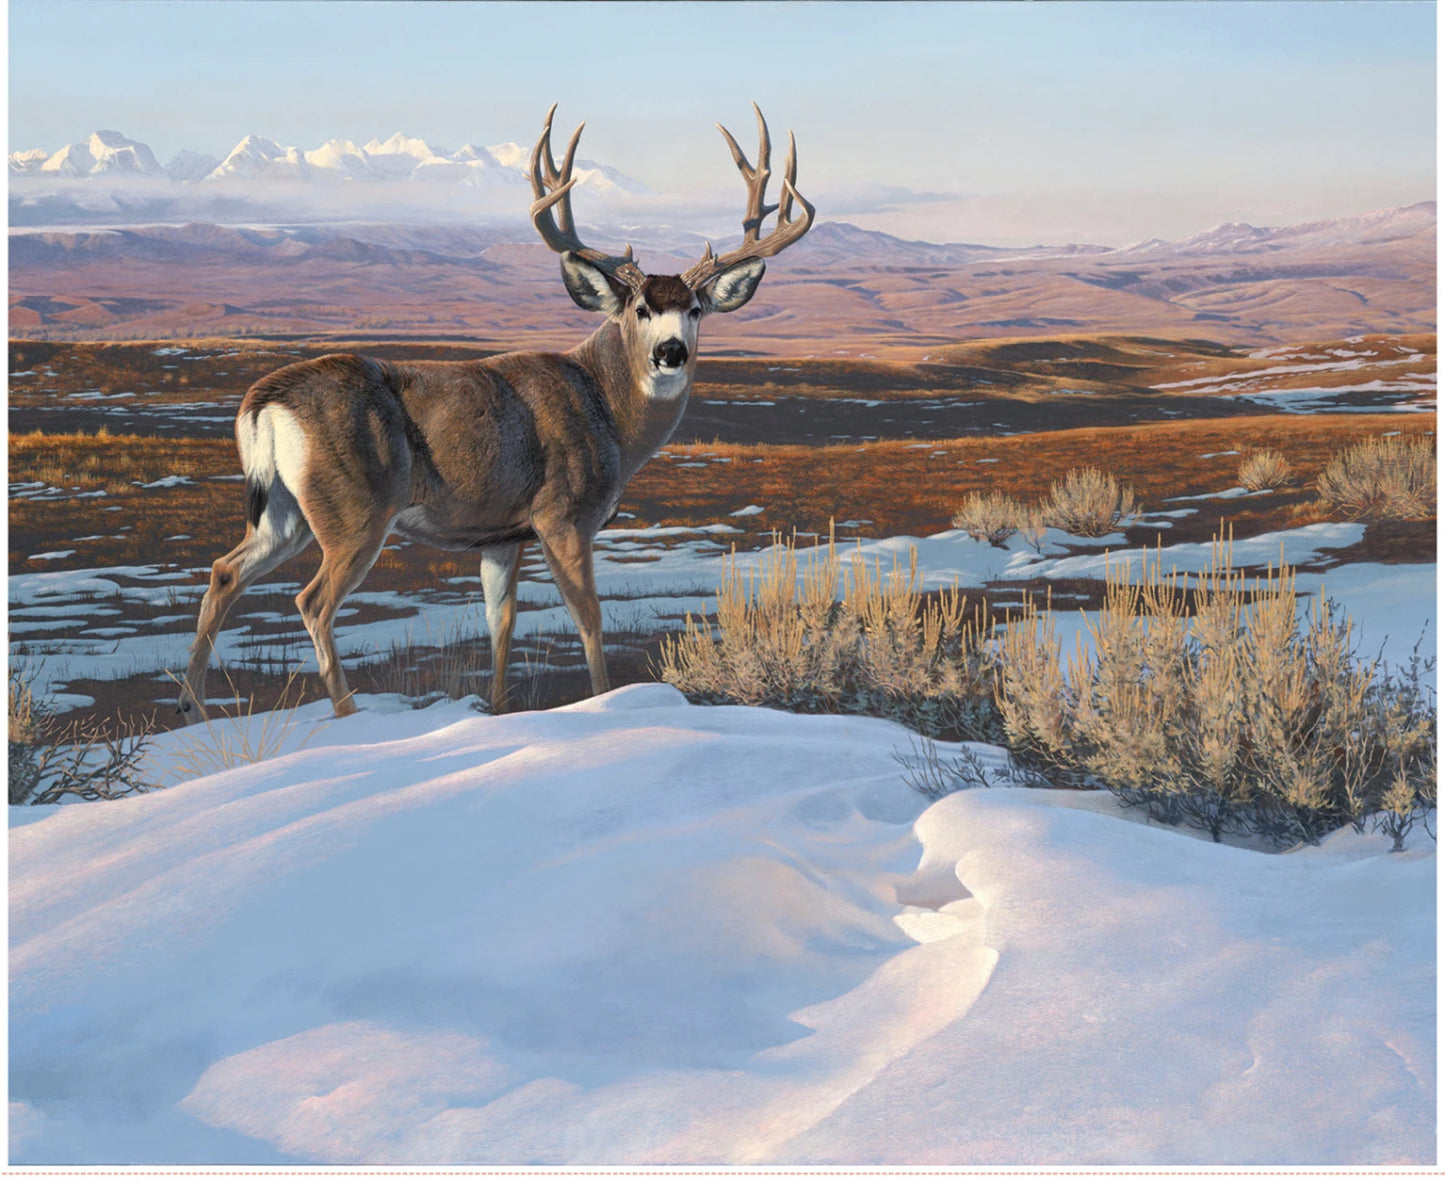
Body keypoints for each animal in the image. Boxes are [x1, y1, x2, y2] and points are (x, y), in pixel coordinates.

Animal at [177, 103, 814, 723]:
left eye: (697, 309)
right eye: (638, 308)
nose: (671, 351)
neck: (607, 412)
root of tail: (263, 401)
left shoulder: (500, 535)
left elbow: (500, 624)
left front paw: (500, 709)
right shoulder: (561, 513)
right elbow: (589, 618)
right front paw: (604, 702)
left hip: (285, 509)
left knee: (225, 568)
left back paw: (194, 704)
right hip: (354, 508)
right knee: (312, 601)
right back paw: (347, 713)